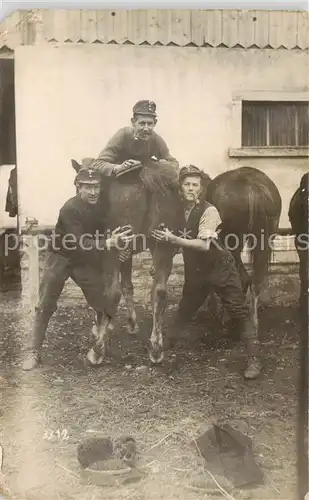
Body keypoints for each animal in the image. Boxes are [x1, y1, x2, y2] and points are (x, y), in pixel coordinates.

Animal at [71, 158, 182, 366]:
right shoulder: (128, 254)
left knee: (112, 292)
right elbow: (128, 286)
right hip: (163, 244)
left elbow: (112, 290)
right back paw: (156, 347)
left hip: (116, 250)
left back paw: (98, 350)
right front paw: (131, 324)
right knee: (160, 291)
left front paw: (103, 328)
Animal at [206, 166, 280, 334]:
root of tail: (253, 186)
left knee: (242, 277)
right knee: (255, 280)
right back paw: (253, 322)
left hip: (232, 240)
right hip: (265, 238)